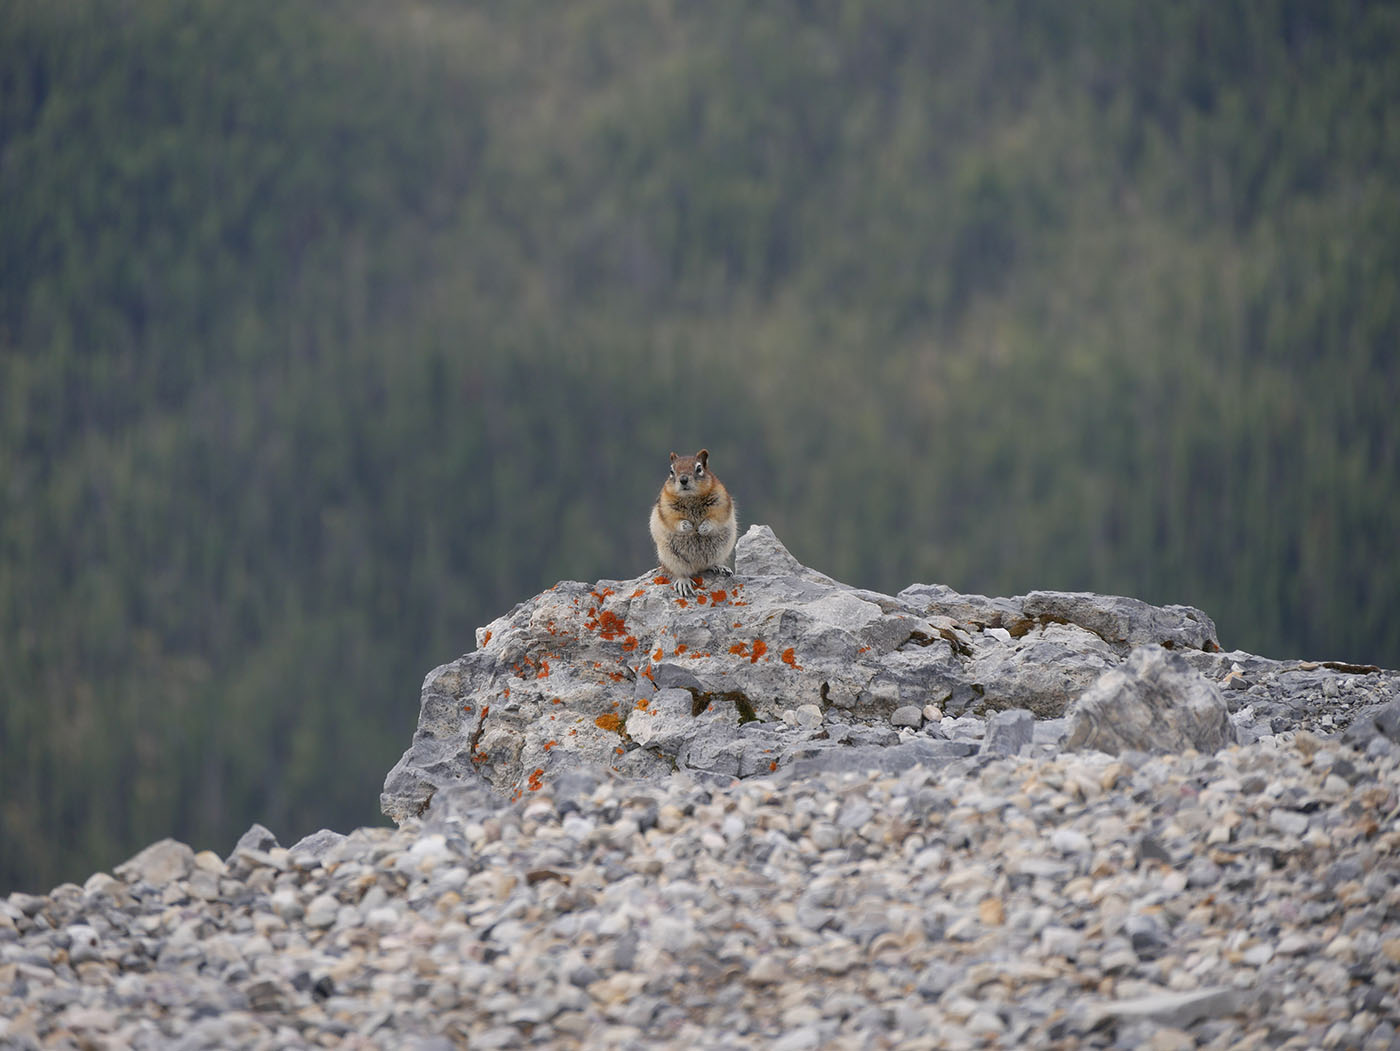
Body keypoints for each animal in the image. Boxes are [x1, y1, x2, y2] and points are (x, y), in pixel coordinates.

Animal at [649, 447, 739, 596]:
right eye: (671, 471)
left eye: (699, 468)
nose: (683, 479)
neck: (690, 497)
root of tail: (698, 567)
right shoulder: (667, 507)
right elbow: (673, 520)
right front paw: (687, 526)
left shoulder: (720, 503)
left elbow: (715, 518)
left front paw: (704, 527)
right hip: (670, 557)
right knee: (680, 572)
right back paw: (683, 582)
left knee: (709, 564)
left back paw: (719, 567)